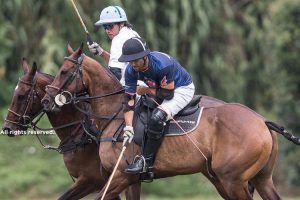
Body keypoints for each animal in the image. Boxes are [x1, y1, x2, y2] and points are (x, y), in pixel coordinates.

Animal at [41, 45, 298, 200]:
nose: (46, 100)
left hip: (232, 179)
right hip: (260, 178)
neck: (113, 115)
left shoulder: (121, 176)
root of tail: (263, 121)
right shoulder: (129, 180)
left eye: (64, 71)